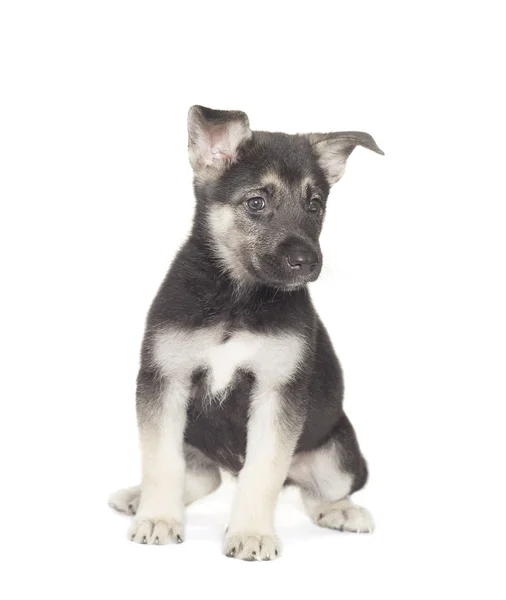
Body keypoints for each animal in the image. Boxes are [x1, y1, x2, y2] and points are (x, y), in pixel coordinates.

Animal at [109, 105, 384, 560]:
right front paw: (159, 519)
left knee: (318, 494)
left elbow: (263, 471)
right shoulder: (165, 381)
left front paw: (252, 533)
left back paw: (343, 511)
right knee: (203, 476)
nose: (307, 262)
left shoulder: (277, 393)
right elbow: (162, 462)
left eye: (315, 205)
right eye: (256, 202)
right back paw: (138, 497)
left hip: (340, 453)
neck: (235, 300)